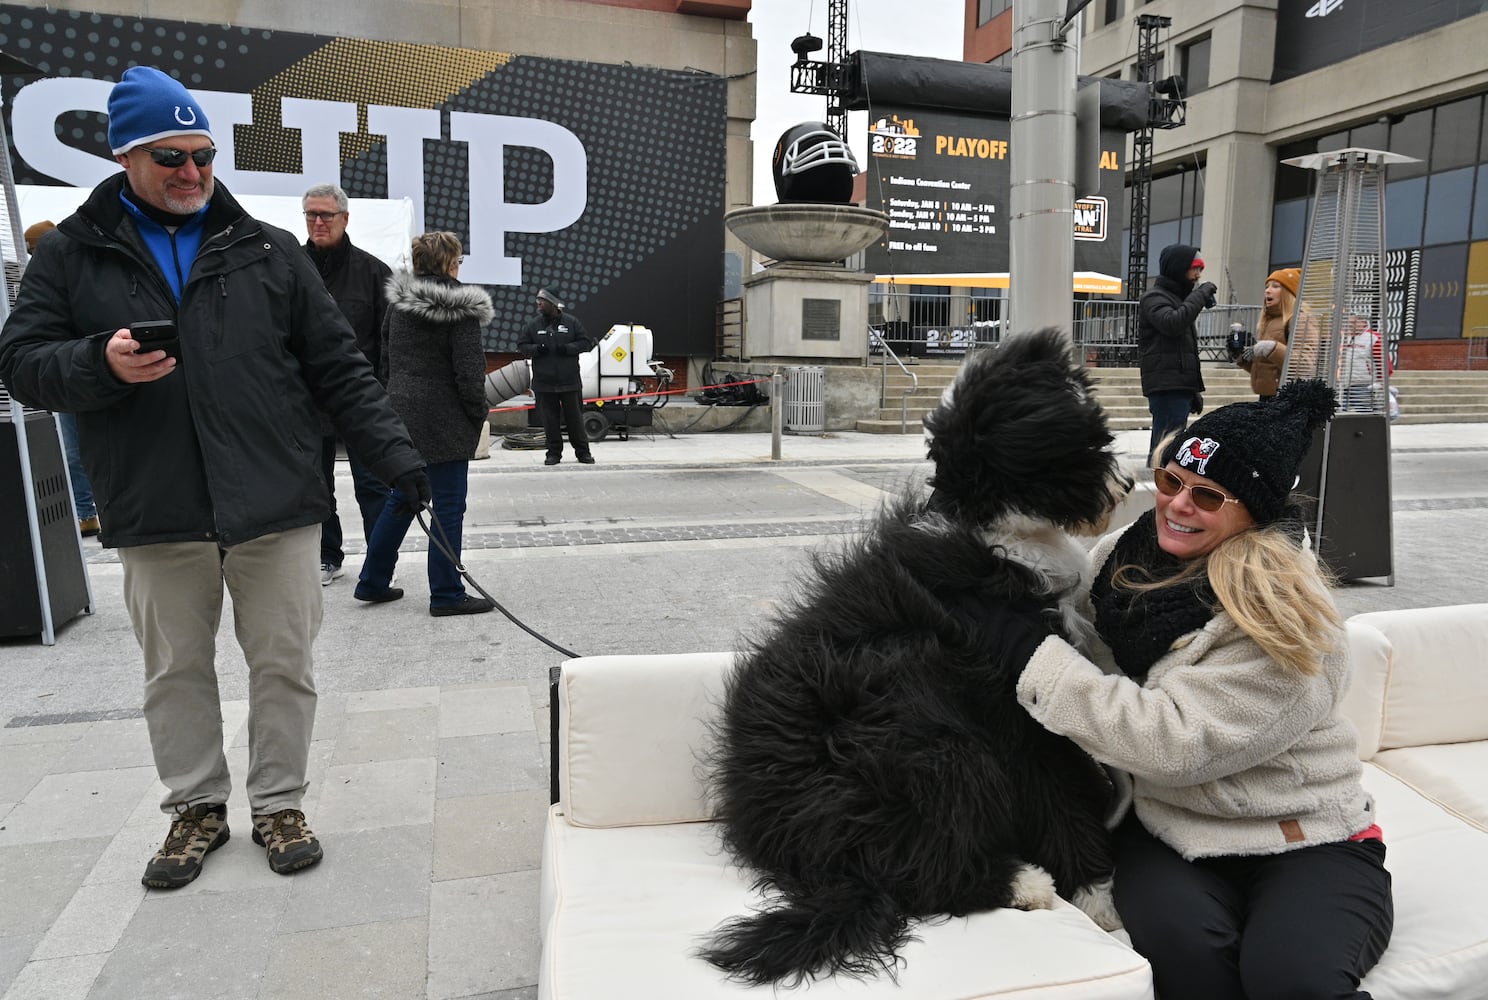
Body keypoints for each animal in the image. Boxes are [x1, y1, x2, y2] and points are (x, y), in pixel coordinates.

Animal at [702, 327, 1130, 982]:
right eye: (1092, 440)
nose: (1129, 487)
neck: (996, 536)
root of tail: (832, 863)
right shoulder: (1020, 720)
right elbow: (1061, 796)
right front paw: (1098, 898)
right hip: (935, 751)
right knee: (926, 876)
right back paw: (1025, 883)